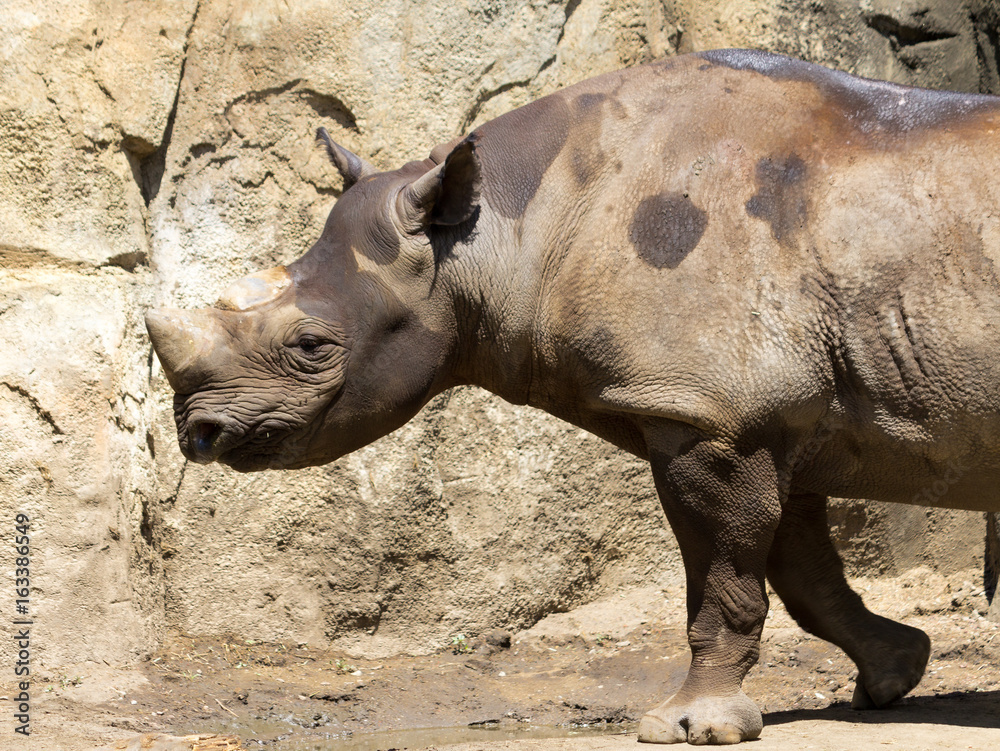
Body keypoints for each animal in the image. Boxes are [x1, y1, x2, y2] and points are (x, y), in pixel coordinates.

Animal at [145, 49, 1000, 744]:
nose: (199, 432)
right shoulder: (766, 407)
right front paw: (893, 674)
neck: (506, 230)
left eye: (312, 347)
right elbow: (802, 568)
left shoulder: (709, 410)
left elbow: (725, 571)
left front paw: (690, 725)